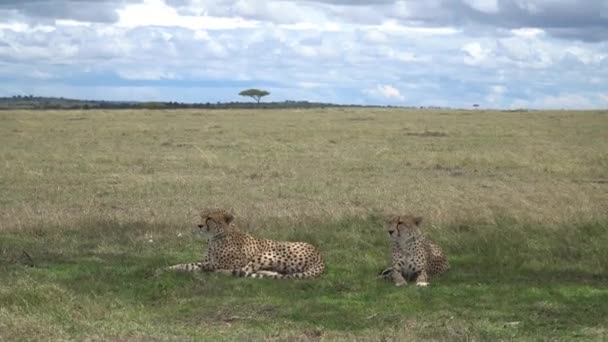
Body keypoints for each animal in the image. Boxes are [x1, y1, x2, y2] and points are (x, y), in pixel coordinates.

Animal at [166, 207, 326, 280]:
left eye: (209, 218)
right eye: (202, 216)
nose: (199, 225)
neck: (215, 237)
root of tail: (320, 256)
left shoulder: (234, 262)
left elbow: (211, 265)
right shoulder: (206, 260)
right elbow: (188, 264)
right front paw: (168, 268)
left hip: (266, 253)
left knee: (244, 271)